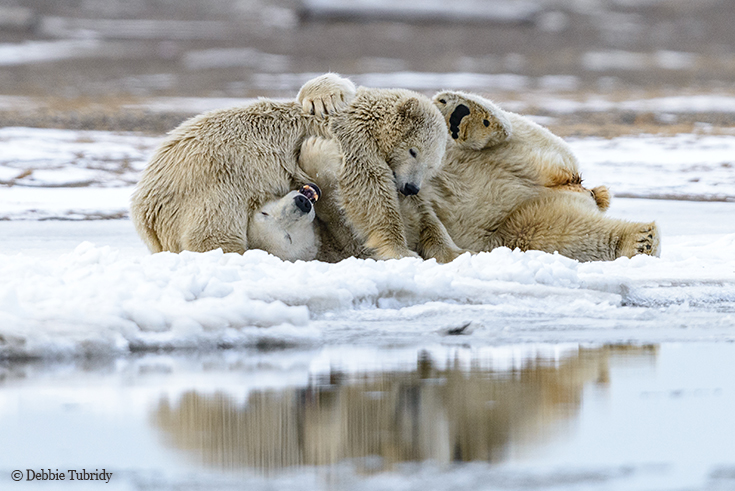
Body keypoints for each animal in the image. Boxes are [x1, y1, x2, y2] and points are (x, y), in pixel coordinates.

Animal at [300, 82, 660, 264]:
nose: (411, 188)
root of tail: (571, 185)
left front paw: (324, 97)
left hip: (523, 154)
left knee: (512, 133)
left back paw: (464, 114)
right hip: (520, 221)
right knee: (565, 234)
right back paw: (638, 239)